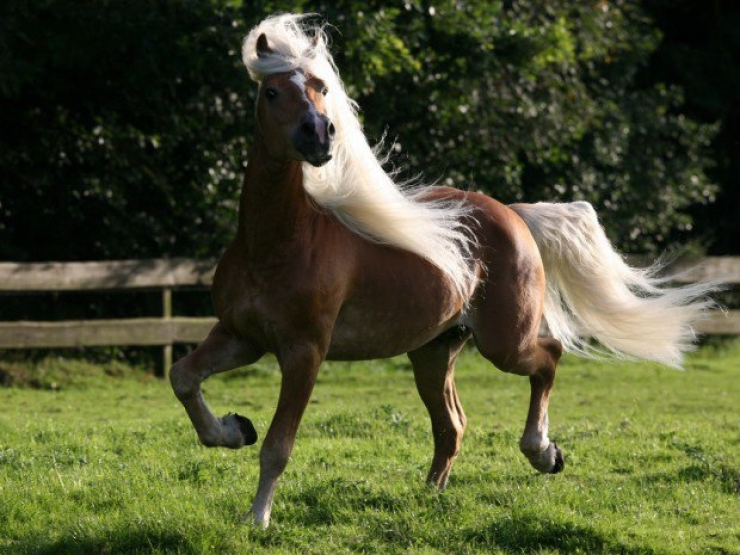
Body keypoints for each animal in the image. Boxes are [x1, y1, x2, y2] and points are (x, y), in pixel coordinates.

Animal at [169, 14, 716, 527]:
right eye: (272, 91)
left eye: (322, 87)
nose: (319, 135)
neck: (278, 243)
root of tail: (514, 213)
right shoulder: (242, 336)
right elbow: (183, 378)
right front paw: (234, 428)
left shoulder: (304, 352)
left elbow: (278, 446)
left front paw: (258, 518)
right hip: (433, 352)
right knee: (452, 425)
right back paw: (428, 498)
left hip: (503, 343)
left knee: (549, 357)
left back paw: (543, 452)